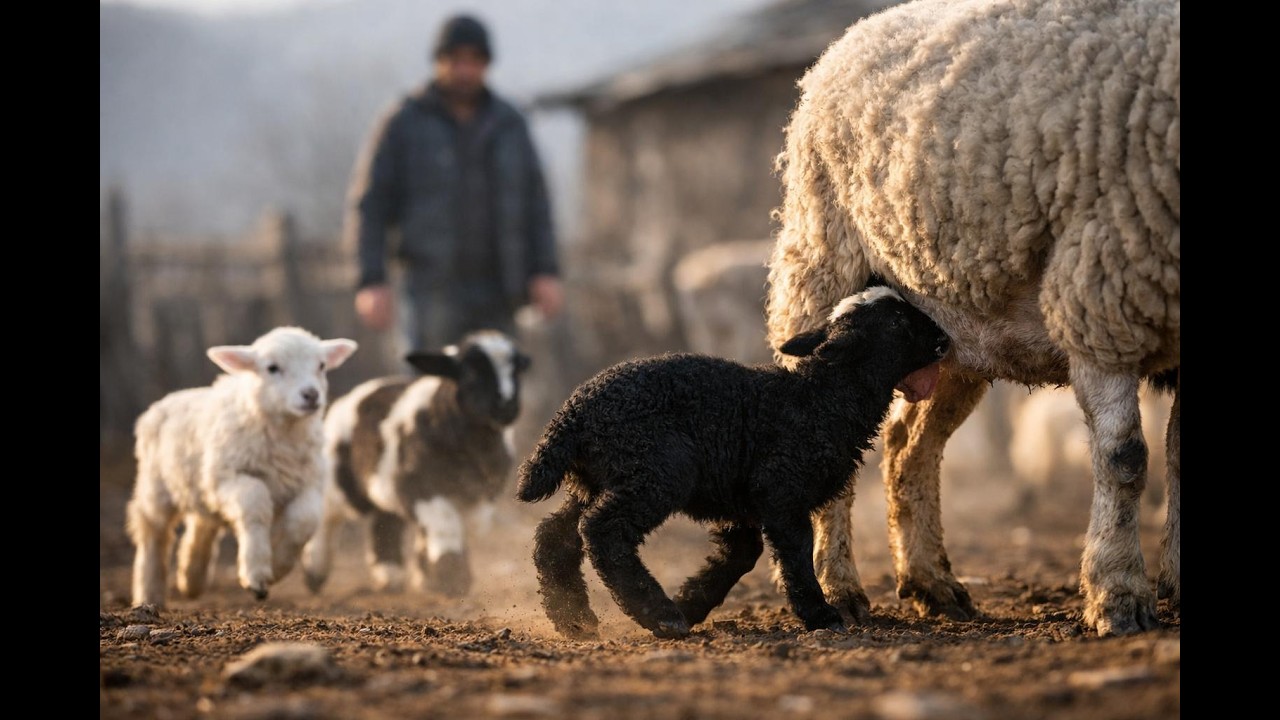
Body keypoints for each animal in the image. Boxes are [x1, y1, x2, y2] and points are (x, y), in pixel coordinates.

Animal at [127, 326, 358, 607]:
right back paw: (148, 596)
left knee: (203, 525)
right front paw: (256, 574)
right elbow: (255, 502)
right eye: (272, 368)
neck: (284, 432)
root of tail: (167, 400)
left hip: (203, 487)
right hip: (157, 487)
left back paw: (191, 579)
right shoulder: (231, 477)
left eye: (321, 365)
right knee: (153, 535)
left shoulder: (310, 483)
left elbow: (304, 520)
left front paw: (278, 565)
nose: (311, 394)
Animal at [300, 329, 530, 598]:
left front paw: (432, 578)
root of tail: (355, 394)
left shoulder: (477, 496)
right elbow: (444, 524)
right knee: (328, 515)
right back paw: (315, 572)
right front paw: (452, 580)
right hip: (340, 480)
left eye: (516, 371)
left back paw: (389, 575)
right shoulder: (420, 485)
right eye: (470, 372)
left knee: (386, 520)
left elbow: (454, 528)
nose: (506, 406)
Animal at [517, 286, 950, 639]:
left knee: (554, 535)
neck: (819, 397)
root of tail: (573, 415)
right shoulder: (780, 490)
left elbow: (739, 553)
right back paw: (658, 615)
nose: (944, 340)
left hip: (601, 478)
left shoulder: (743, 503)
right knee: (603, 530)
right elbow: (795, 554)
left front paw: (692, 602)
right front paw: (822, 616)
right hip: (655, 471)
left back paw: (574, 619)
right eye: (897, 321)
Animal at [764, 0, 1179, 636]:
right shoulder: (1097, 298)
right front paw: (1119, 594)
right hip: (822, 265)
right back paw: (839, 588)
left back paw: (931, 582)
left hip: (951, 333)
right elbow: (1125, 458)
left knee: (909, 445)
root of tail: (852, 36)